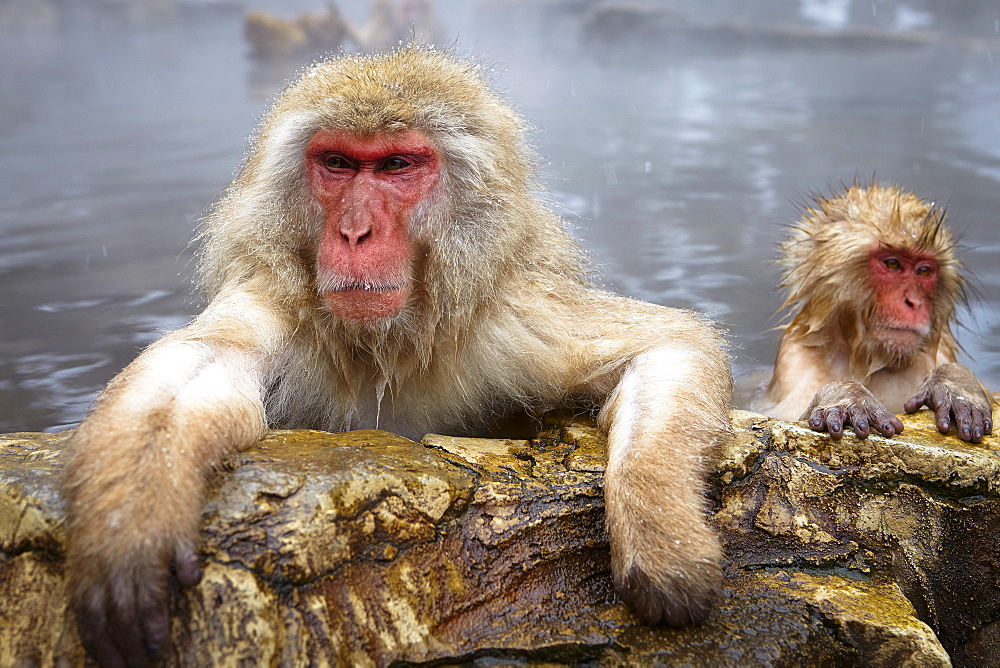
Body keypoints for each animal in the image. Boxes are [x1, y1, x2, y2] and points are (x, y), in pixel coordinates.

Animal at [62, 47, 736, 664]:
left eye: (395, 165)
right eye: (337, 163)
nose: (354, 232)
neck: (387, 342)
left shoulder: (507, 318)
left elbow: (668, 342)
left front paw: (662, 540)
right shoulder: (279, 304)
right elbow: (194, 373)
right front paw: (130, 523)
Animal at [756, 183, 992, 444]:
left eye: (923, 271)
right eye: (892, 264)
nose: (913, 302)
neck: (868, 359)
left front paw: (955, 384)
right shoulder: (795, 362)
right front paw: (848, 396)